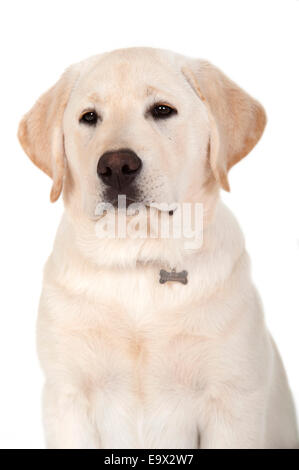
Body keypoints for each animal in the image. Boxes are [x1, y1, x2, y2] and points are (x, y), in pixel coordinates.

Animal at [17, 47, 299, 448]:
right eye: (89, 117)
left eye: (162, 110)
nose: (116, 165)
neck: (138, 255)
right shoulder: (67, 398)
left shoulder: (231, 402)